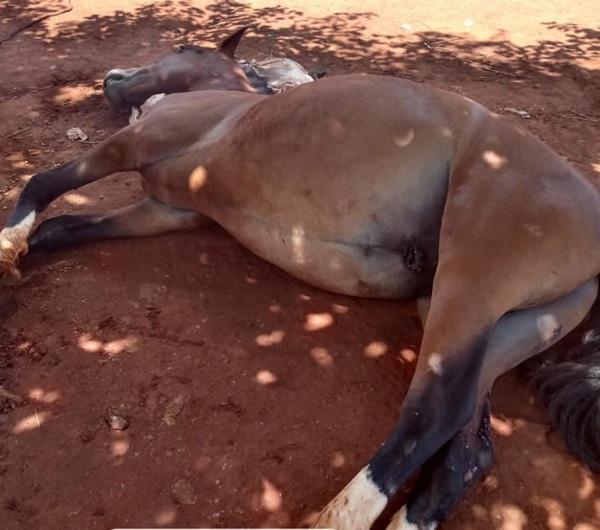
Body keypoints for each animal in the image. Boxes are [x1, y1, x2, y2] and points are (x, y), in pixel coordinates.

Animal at [1, 27, 600, 528]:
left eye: (186, 47)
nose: (110, 78)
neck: (233, 104)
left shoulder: (131, 146)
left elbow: (43, 182)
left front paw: (7, 249)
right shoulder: (163, 211)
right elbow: (63, 229)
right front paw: (24, 253)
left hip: (473, 283)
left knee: (431, 413)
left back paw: (337, 519)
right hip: (489, 324)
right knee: (468, 447)